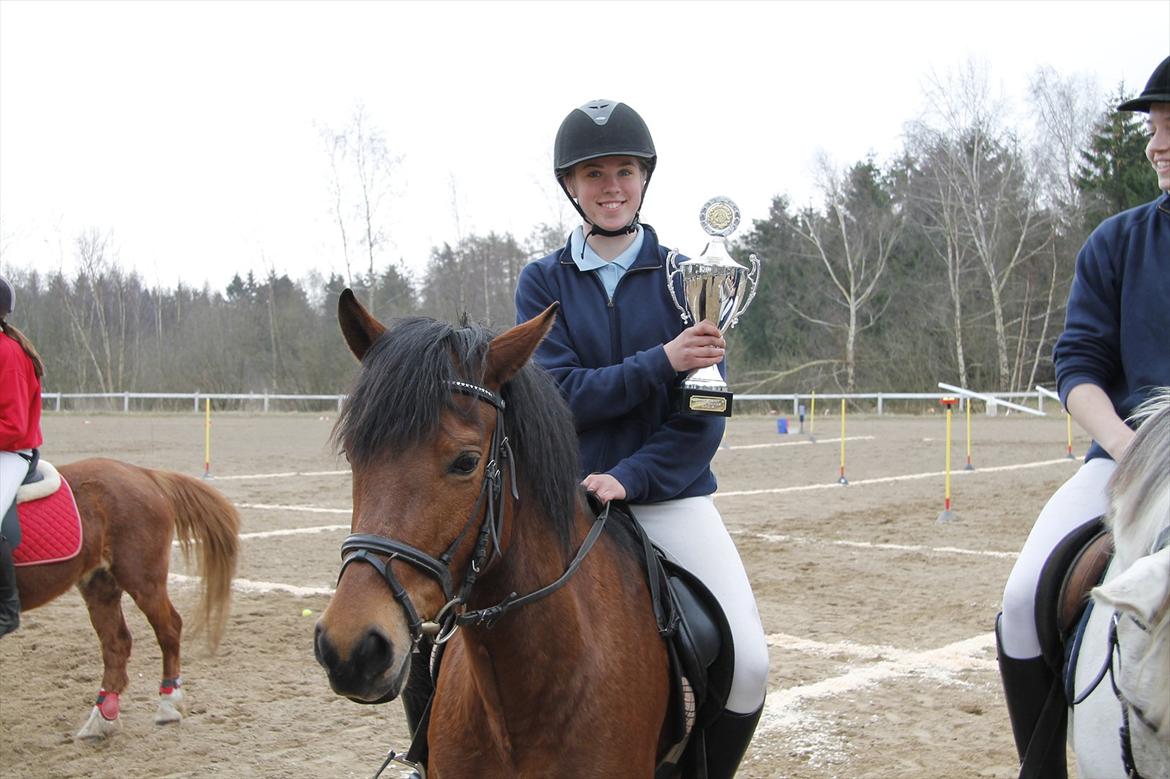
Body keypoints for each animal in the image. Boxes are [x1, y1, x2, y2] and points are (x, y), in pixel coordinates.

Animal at [10, 457, 240, 740]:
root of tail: (145, 473)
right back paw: (102, 719)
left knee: (169, 628)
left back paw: (168, 704)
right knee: (117, 644)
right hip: (99, 584)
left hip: (142, 579)